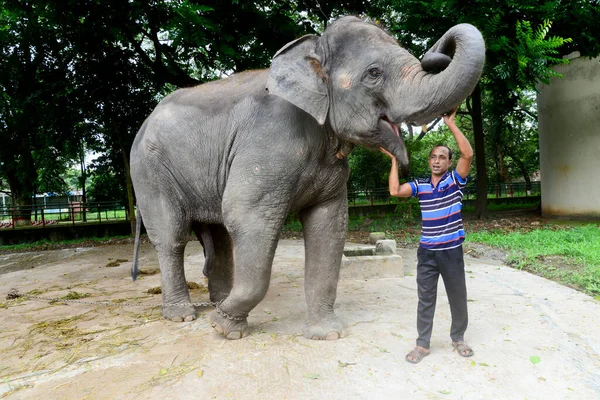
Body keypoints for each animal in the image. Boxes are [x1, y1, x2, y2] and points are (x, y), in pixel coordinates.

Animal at [129, 15, 486, 340]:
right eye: (374, 73)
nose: (435, 55)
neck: (311, 50)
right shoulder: (266, 143)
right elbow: (247, 217)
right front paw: (224, 328)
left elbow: (329, 226)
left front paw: (327, 334)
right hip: (149, 172)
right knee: (172, 236)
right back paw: (183, 315)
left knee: (218, 237)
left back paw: (216, 301)